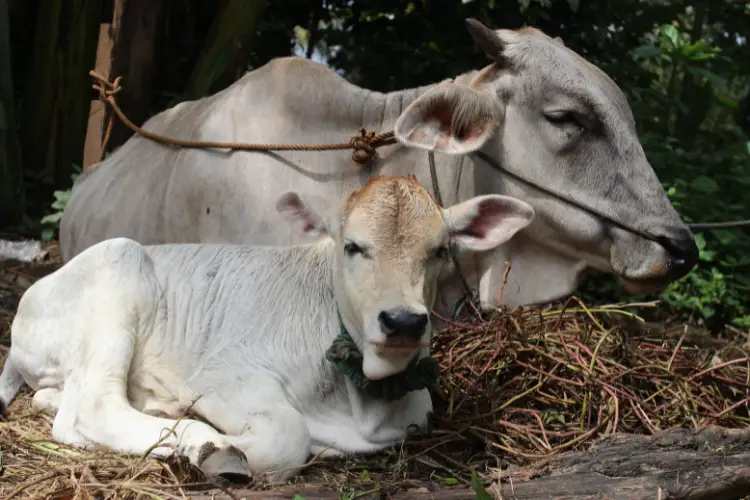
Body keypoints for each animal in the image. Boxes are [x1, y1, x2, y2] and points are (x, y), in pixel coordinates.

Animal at [1, 177, 540, 484]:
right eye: (352, 246)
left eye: (440, 250)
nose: (403, 321)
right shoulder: (225, 373)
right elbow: (286, 436)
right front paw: (214, 444)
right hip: (120, 265)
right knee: (90, 408)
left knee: (61, 400)